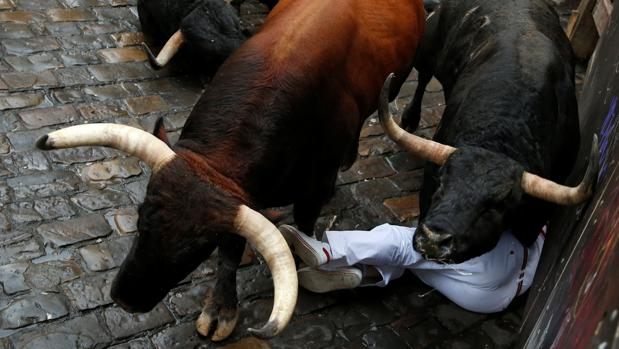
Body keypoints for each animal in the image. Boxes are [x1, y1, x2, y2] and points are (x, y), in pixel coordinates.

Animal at [36, 0, 428, 340]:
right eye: (140, 214)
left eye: (198, 248)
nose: (126, 300)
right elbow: (232, 250)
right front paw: (220, 309)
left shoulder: (311, 190)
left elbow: (301, 225)